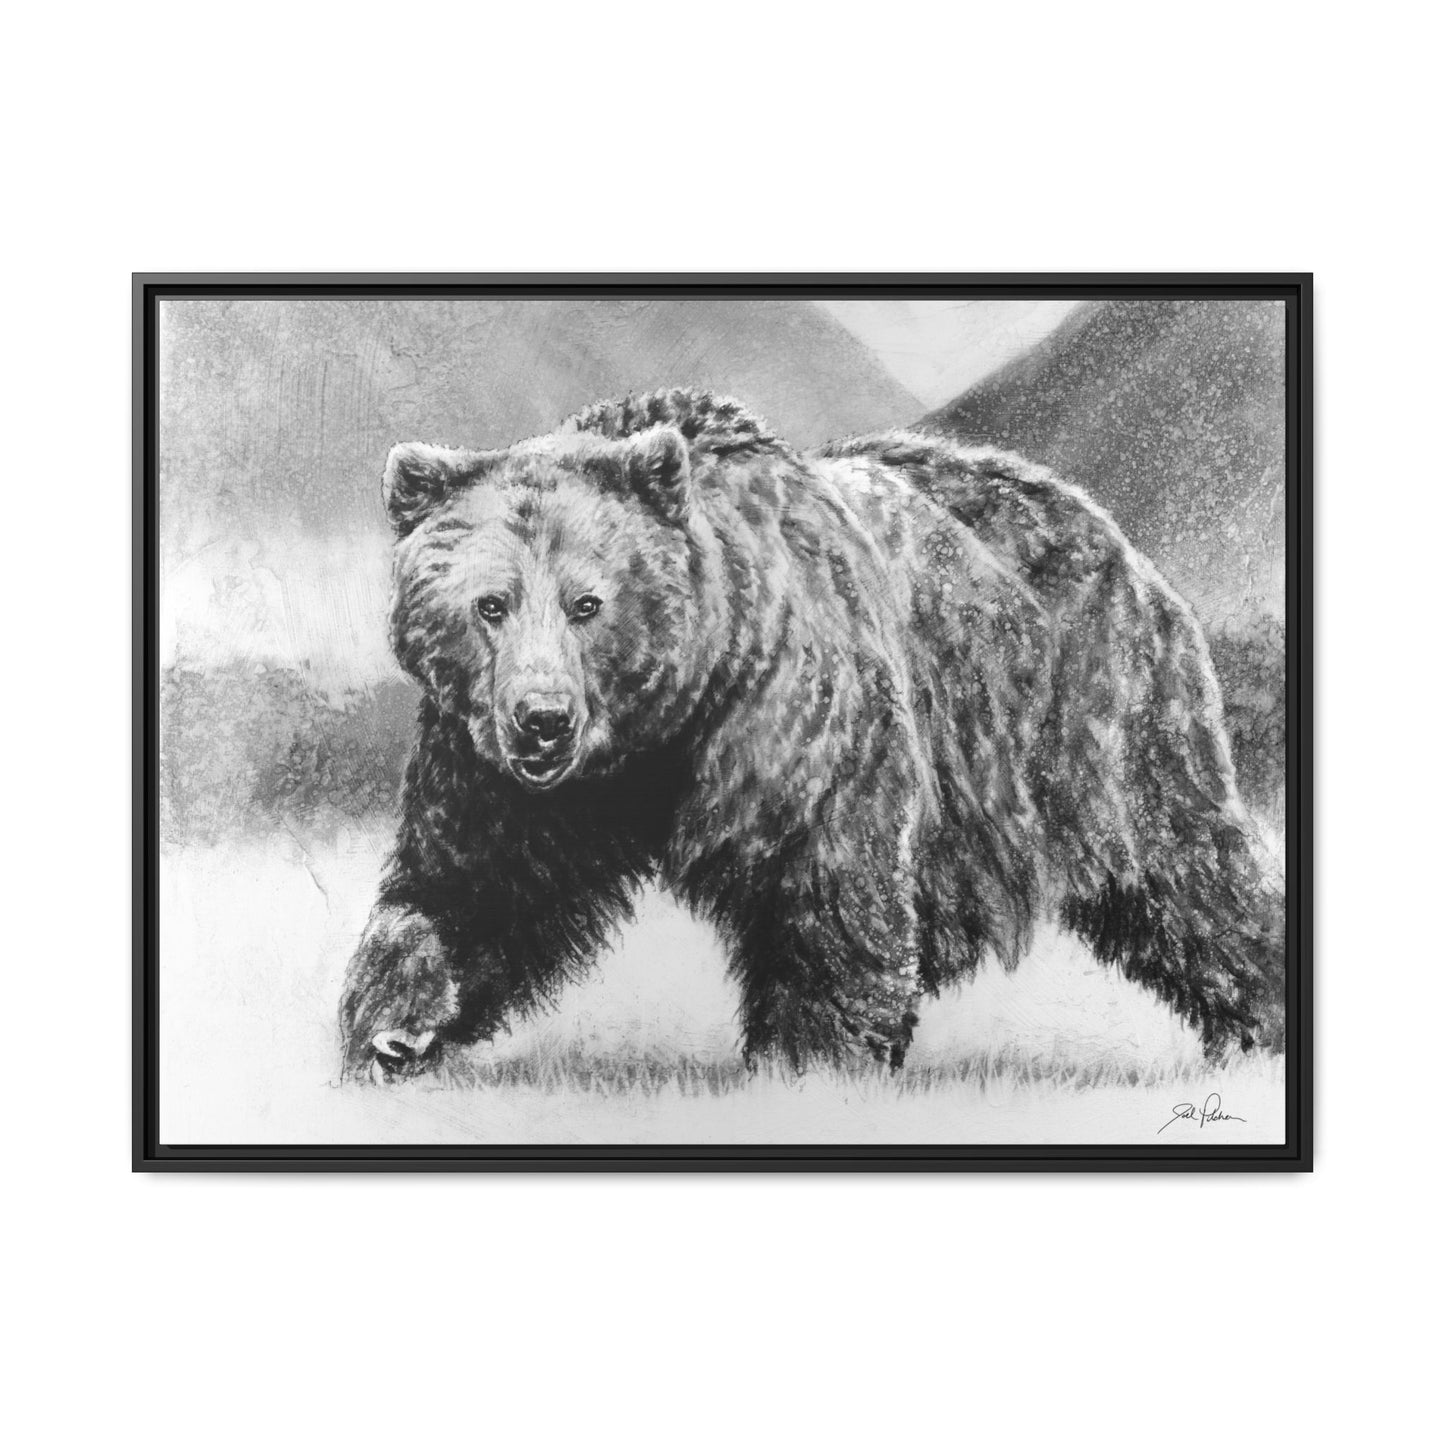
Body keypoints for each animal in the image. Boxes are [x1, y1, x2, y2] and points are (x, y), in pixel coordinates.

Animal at [339, 387, 1284, 1082]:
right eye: (488, 604)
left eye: (587, 601)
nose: (542, 718)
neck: (665, 725)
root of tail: (1107, 527)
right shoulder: (497, 767)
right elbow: (471, 883)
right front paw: (392, 1031)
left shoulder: (799, 717)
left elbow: (827, 883)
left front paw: (809, 1062)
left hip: (1097, 720)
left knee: (1188, 875)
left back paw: (1258, 1023)